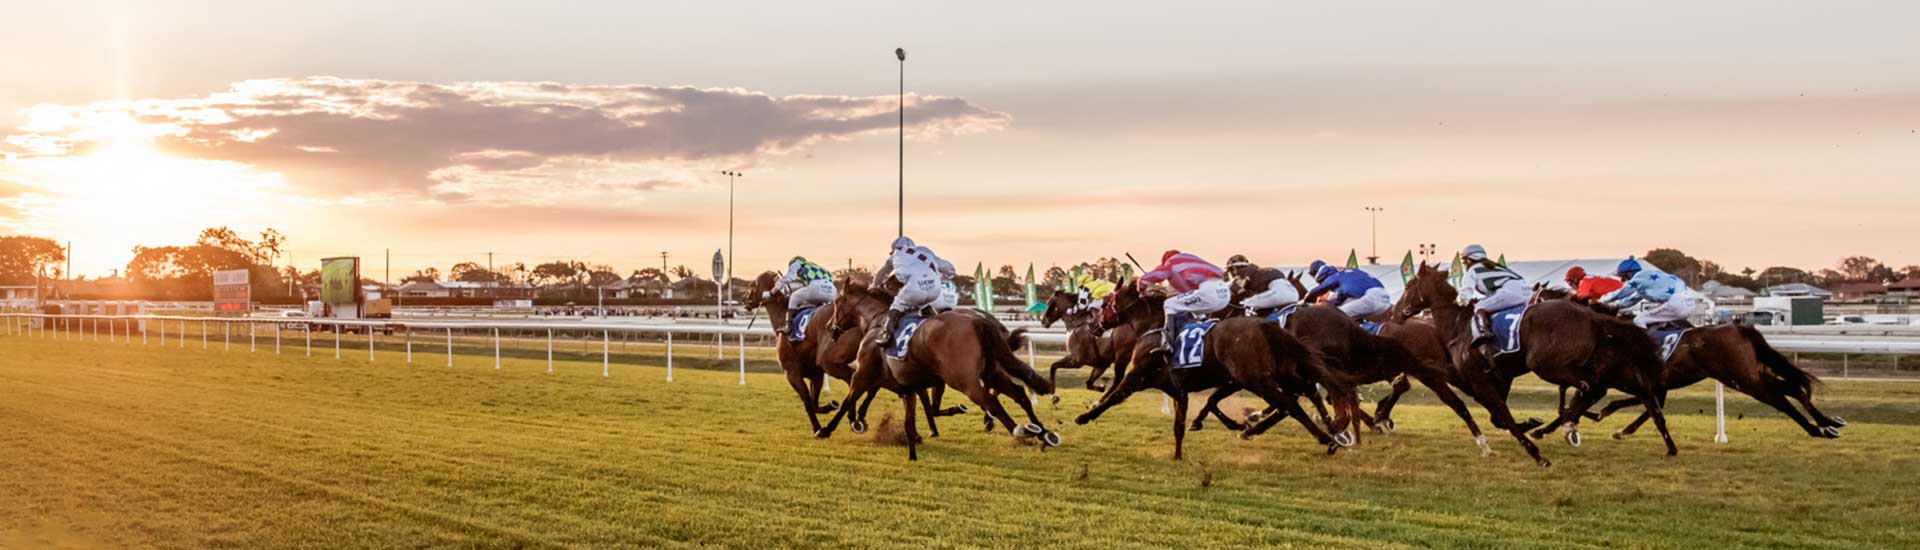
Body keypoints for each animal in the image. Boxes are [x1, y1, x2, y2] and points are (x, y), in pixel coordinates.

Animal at [806, 278, 1059, 459]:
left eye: (837, 303)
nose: (830, 327)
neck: (877, 322)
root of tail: (980, 321)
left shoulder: (862, 375)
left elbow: (847, 400)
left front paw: (827, 429)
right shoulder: (908, 386)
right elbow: (914, 414)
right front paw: (914, 441)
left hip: (964, 380)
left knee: (991, 402)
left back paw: (1020, 430)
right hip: (992, 372)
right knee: (1019, 394)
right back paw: (1045, 433)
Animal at [1075, 278, 1344, 459]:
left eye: (1106, 302)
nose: (1096, 326)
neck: (1153, 326)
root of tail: (1265, 325)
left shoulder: (1136, 376)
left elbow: (1113, 397)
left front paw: (1084, 416)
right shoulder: (1180, 390)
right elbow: (1184, 421)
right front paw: (1179, 453)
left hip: (1257, 379)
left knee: (1290, 404)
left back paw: (1325, 437)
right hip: (1278, 375)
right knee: (1307, 392)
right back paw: (1332, 431)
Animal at [1390, 263, 1674, 465]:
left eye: (1410, 284)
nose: (1394, 313)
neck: (1458, 325)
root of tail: (1593, 317)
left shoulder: (1481, 381)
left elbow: (1503, 416)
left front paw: (1536, 450)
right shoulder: (1499, 378)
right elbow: (1499, 418)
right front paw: (1532, 424)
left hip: (1548, 365)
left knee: (1594, 389)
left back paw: (1569, 426)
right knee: (1630, 395)